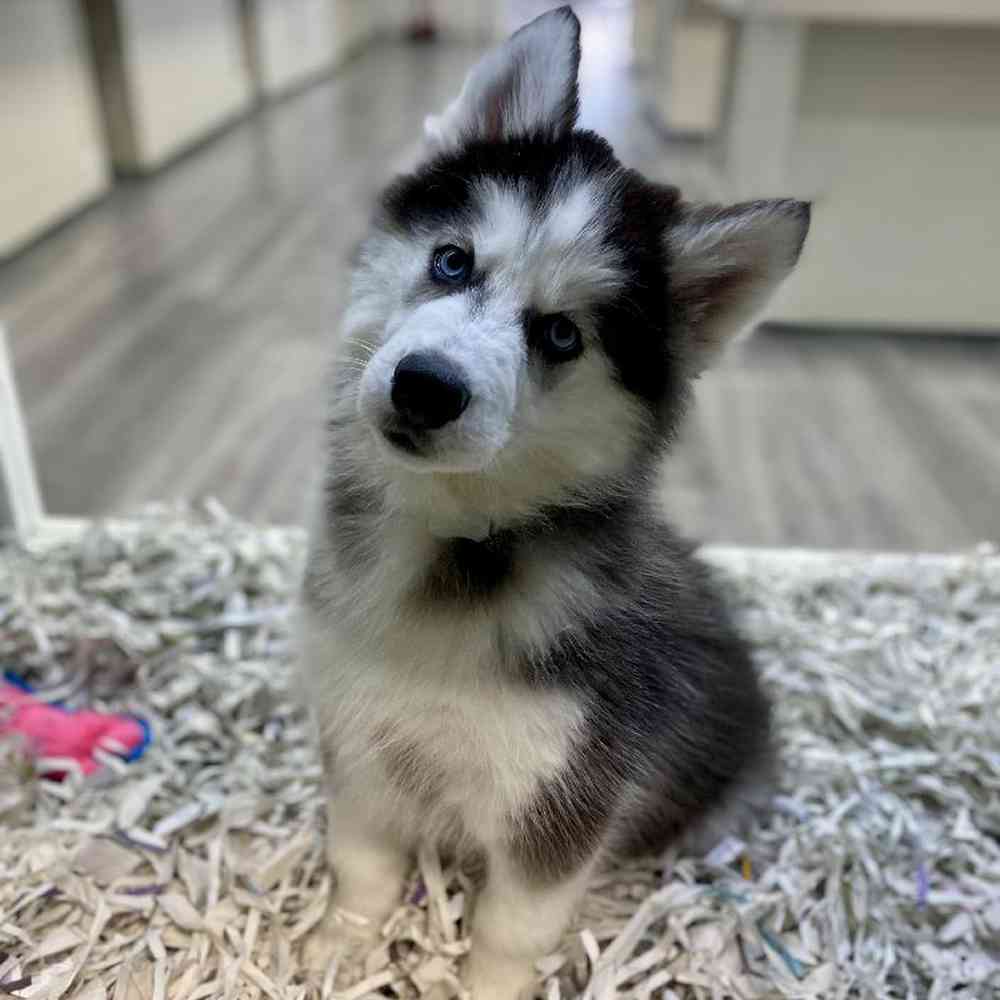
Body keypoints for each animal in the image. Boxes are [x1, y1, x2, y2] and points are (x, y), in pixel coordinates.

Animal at [294, 9, 804, 1000]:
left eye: (562, 335)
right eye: (452, 261)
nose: (425, 387)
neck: (455, 547)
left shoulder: (563, 797)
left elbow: (508, 930)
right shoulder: (360, 735)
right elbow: (363, 860)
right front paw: (343, 947)